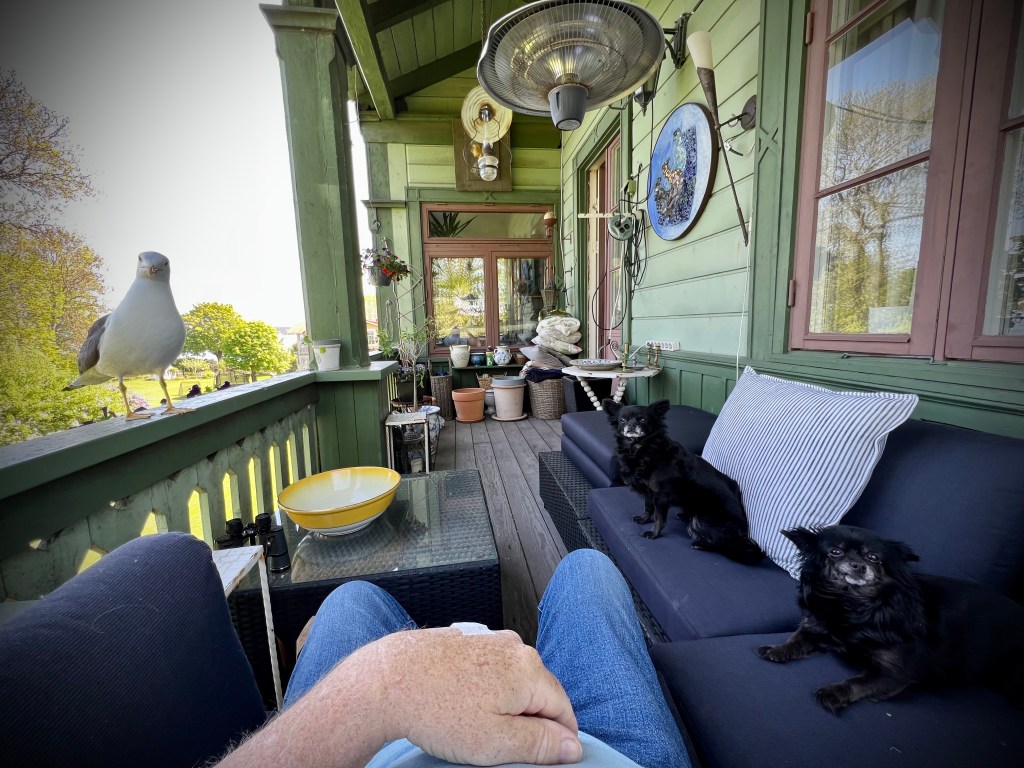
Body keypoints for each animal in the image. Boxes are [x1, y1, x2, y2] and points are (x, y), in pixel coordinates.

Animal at [603, 398, 762, 563]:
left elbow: (659, 518)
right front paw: (644, 519)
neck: (641, 449)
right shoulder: (649, 491)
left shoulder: (661, 495)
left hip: (701, 518)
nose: (631, 424)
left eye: (643, 420)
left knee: (723, 543)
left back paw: (700, 544)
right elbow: (648, 507)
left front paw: (654, 534)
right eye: (622, 420)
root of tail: (743, 532)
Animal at [758, 524, 1024, 713]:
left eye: (873, 557)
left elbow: (858, 682)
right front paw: (777, 649)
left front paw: (833, 693)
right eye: (835, 552)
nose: (858, 565)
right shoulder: (816, 625)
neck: (852, 604)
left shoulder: (896, 672)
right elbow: (797, 639)